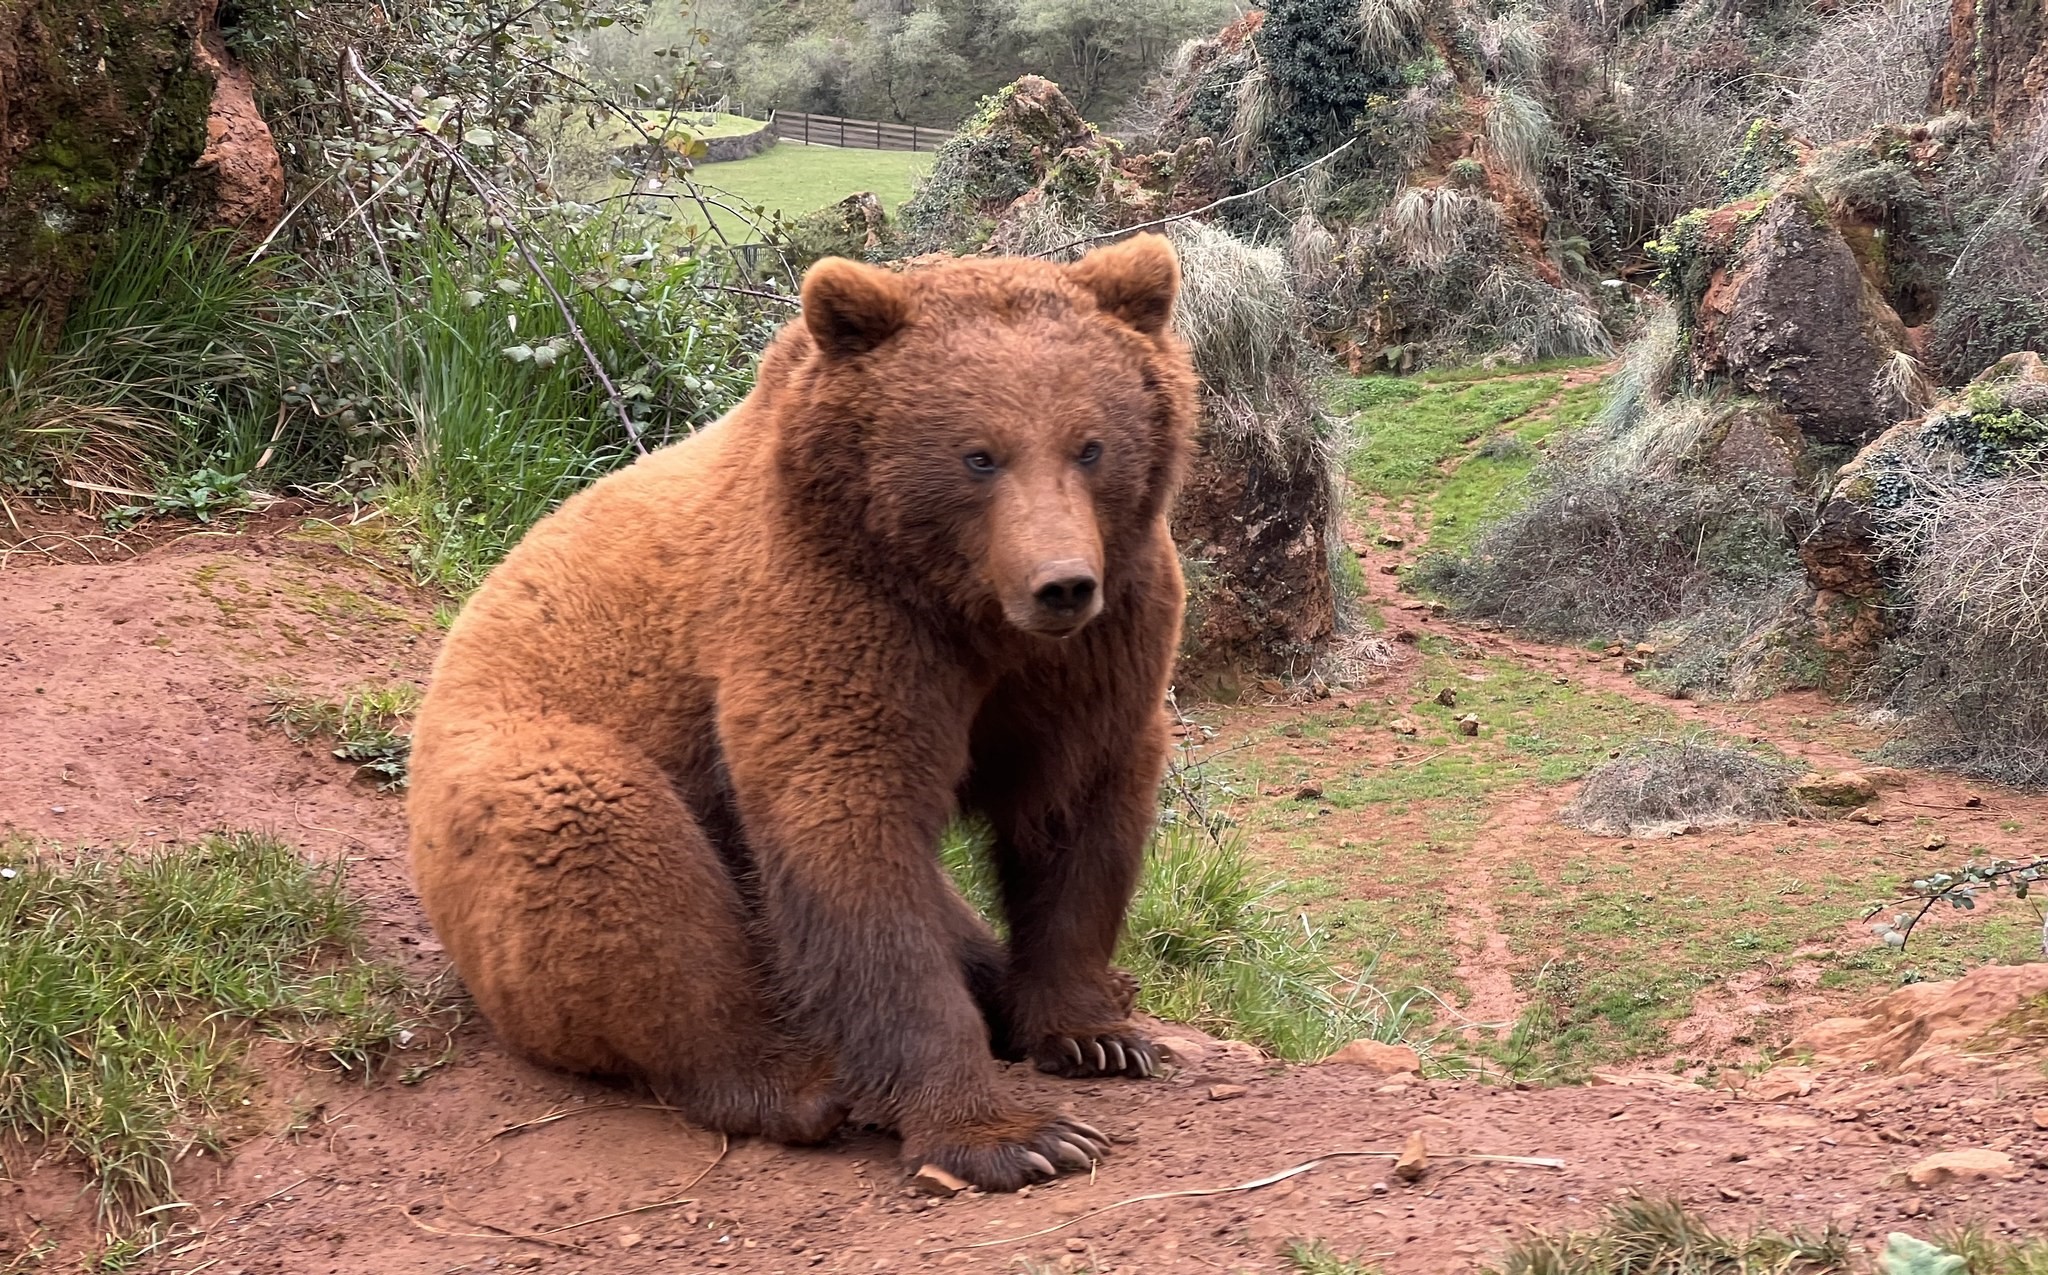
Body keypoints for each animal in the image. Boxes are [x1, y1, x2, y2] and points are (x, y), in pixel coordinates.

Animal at [405, 232, 1196, 1195]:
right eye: (979, 455)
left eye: (1090, 446)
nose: (1061, 583)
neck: (964, 608)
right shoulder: (826, 609)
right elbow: (850, 836)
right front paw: (1014, 1134)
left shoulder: (1099, 644)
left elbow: (1075, 809)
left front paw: (1092, 1033)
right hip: (517, 793)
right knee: (618, 858)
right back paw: (791, 1081)